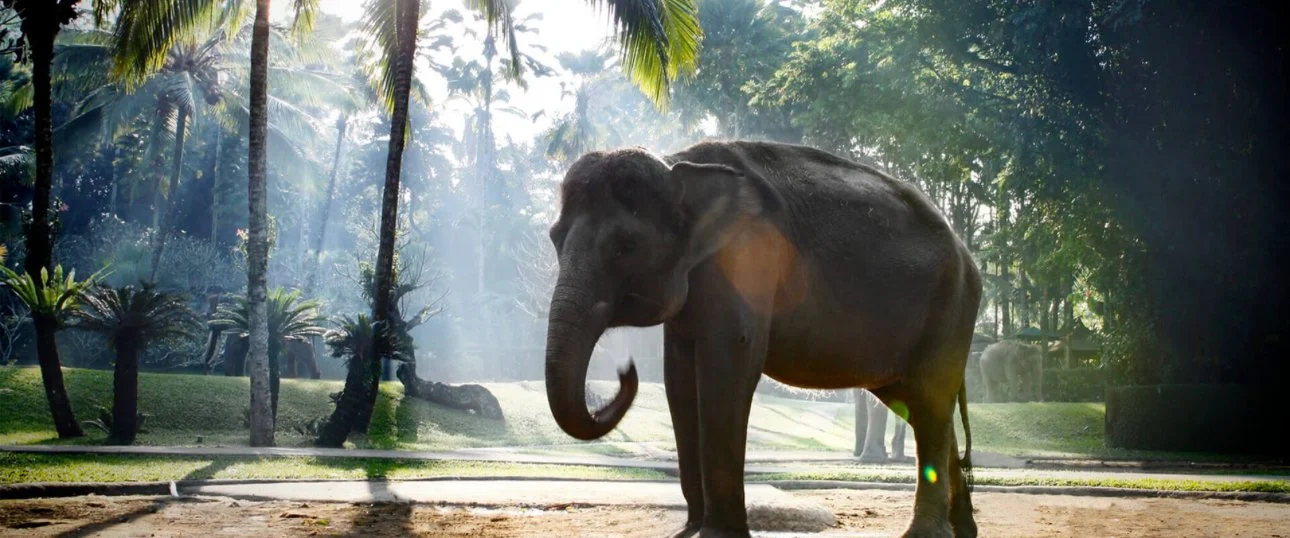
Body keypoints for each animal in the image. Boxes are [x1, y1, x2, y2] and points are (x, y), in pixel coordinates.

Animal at [541, 141, 982, 538]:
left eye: (625, 246)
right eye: (554, 238)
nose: (625, 371)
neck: (677, 164)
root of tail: (966, 253)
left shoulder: (746, 260)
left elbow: (728, 365)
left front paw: (718, 534)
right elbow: (678, 380)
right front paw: (688, 531)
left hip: (951, 311)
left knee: (929, 402)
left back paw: (926, 535)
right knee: (921, 406)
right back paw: (964, 530)